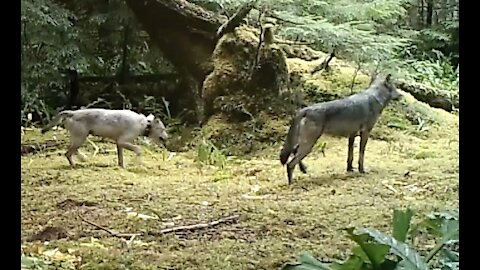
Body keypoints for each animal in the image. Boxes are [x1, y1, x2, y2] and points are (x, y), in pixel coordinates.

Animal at [41, 108, 170, 168]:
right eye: (162, 129)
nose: (167, 138)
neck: (145, 124)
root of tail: (73, 113)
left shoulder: (119, 144)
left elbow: (120, 159)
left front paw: (121, 166)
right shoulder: (123, 141)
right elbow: (139, 150)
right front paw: (137, 163)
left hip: (78, 137)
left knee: (70, 151)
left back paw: (81, 159)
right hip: (80, 137)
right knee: (68, 153)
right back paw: (78, 163)